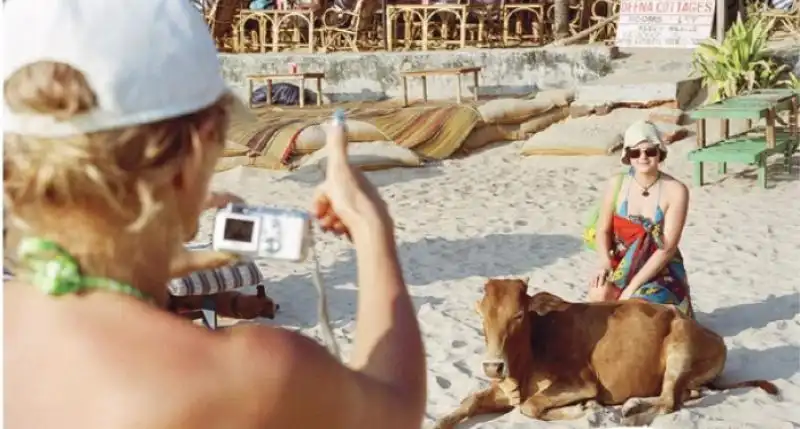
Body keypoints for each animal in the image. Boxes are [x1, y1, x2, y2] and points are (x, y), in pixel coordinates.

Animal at [434, 276, 780, 426]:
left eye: (518, 315)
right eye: (481, 315)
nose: (493, 366)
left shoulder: (580, 382)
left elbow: (530, 407)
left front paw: (582, 409)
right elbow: (467, 403)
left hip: (680, 345)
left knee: (671, 401)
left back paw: (631, 416)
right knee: (684, 395)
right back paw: (633, 405)